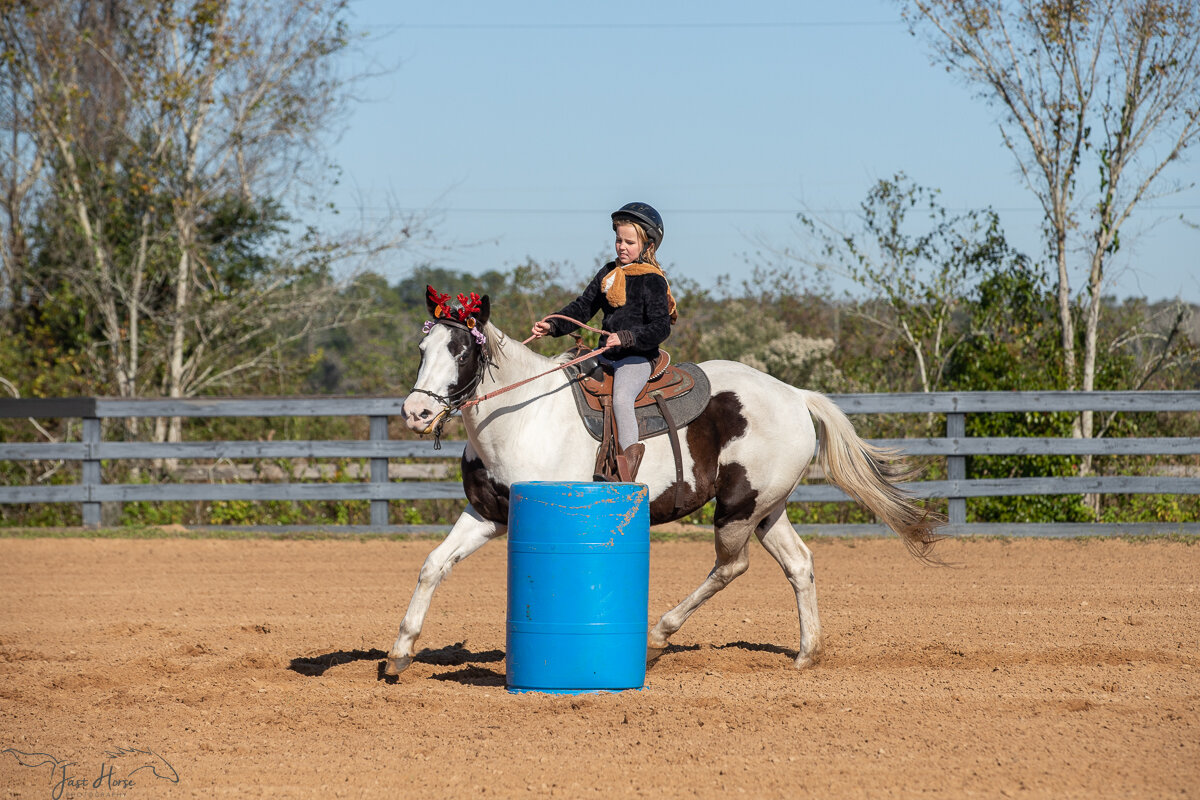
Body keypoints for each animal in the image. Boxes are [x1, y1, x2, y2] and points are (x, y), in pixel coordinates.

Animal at [384, 287, 945, 676]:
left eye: (461, 350)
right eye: (422, 347)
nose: (416, 413)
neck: (523, 415)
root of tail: (794, 394)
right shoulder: (487, 516)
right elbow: (432, 566)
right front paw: (399, 652)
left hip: (738, 507)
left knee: (731, 566)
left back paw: (657, 637)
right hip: (768, 508)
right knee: (799, 565)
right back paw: (807, 654)